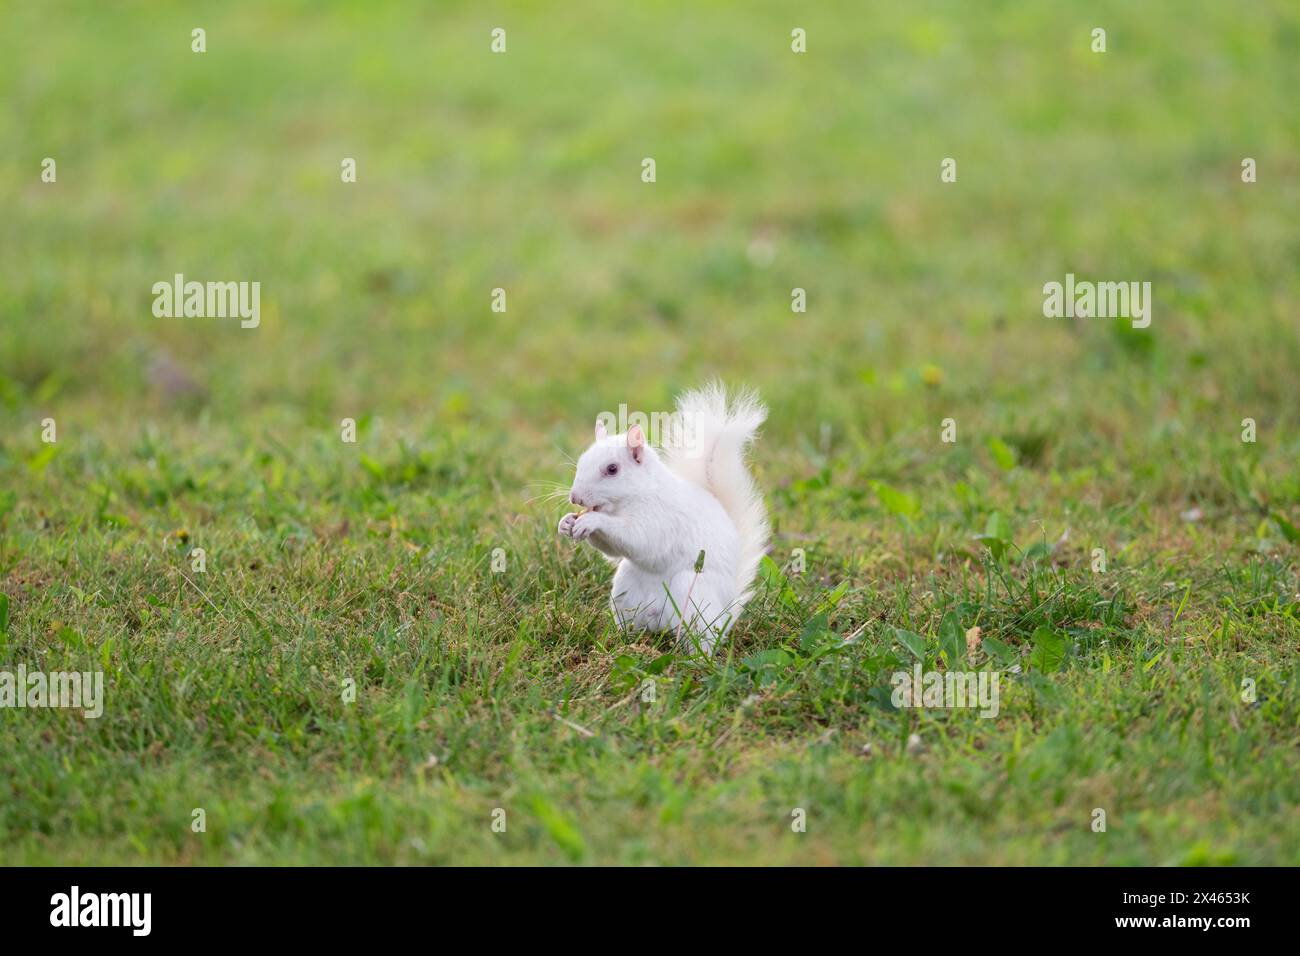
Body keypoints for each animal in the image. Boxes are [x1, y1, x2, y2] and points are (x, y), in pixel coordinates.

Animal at [558, 383, 768, 654]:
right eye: (581, 462)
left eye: (612, 469)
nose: (575, 497)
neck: (630, 500)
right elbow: (612, 551)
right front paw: (566, 523)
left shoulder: (660, 518)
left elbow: (638, 538)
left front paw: (592, 522)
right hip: (625, 593)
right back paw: (621, 641)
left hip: (693, 595)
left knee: (702, 637)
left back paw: (696, 657)